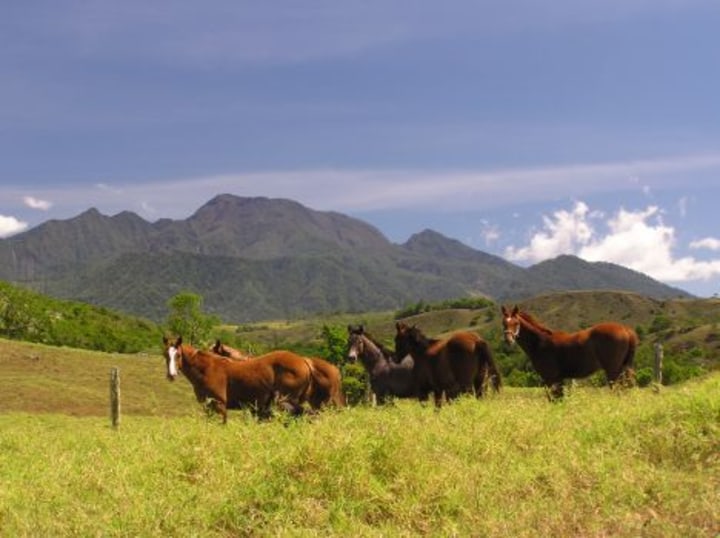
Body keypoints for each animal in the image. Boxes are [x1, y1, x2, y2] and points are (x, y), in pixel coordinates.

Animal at [500, 306, 636, 398]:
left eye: (516, 323)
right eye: (504, 323)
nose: (508, 340)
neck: (540, 343)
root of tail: (626, 329)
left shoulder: (551, 378)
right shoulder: (559, 379)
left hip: (613, 371)